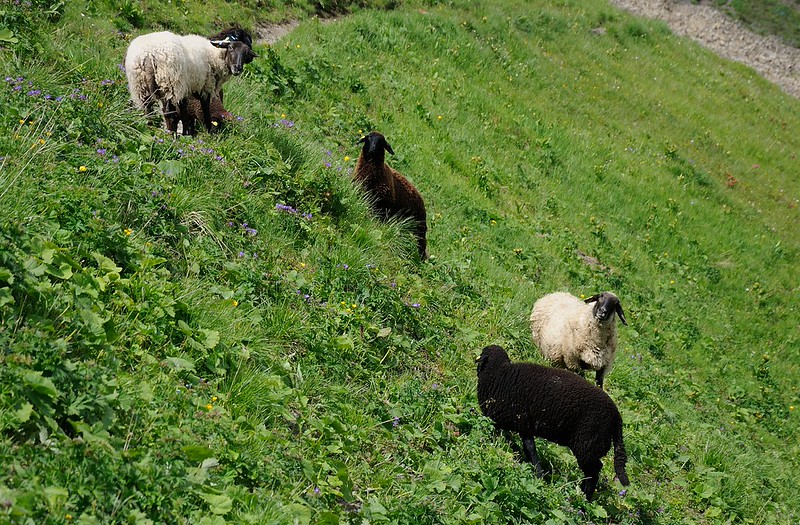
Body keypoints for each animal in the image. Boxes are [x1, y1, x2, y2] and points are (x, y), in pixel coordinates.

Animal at [124, 29, 257, 136]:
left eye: (246, 52)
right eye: (231, 48)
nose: (238, 68)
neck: (215, 54)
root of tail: (148, 54)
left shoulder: (186, 89)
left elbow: (184, 112)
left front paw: (186, 132)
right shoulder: (205, 88)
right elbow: (205, 111)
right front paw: (207, 131)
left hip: (140, 85)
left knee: (147, 109)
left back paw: (150, 128)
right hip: (170, 82)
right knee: (168, 112)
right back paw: (171, 134)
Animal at [352, 131, 428, 260]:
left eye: (381, 142)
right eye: (368, 138)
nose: (372, 149)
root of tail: (421, 198)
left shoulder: (383, 208)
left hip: (419, 228)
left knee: (421, 244)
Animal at [476, 344, 630, 500]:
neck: (497, 372)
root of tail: (616, 417)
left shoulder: (522, 423)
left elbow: (530, 448)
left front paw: (538, 475)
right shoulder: (522, 425)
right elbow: (526, 447)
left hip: (588, 444)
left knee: (594, 471)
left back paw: (585, 498)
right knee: (591, 471)